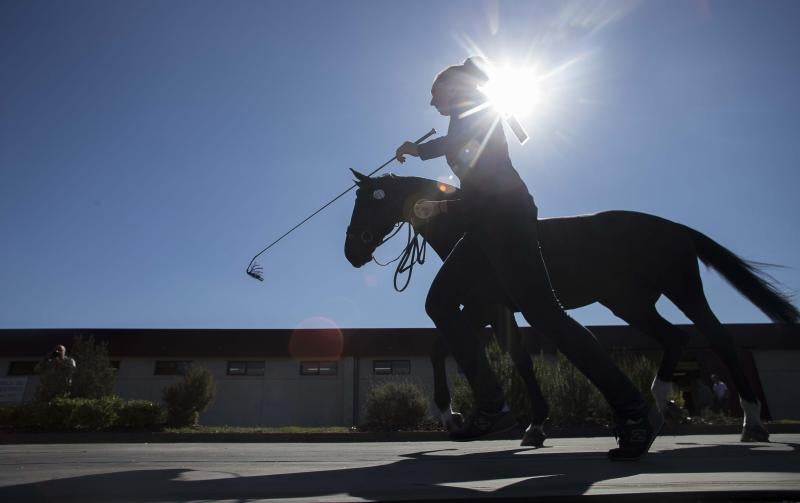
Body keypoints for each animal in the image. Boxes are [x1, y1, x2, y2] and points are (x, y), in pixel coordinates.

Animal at [344, 171, 800, 446]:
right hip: (628, 303)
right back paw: (656, 409)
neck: (469, 226)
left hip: (682, 292)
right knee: (674, 337)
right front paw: (529, 423)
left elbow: (457, 350)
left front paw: (453, 413)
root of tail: (675, 228)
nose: (352, 251)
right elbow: (511, 358)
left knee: (718, 338)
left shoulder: (481, 307)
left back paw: (750, 421)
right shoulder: (490, 309)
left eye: (369, 201)